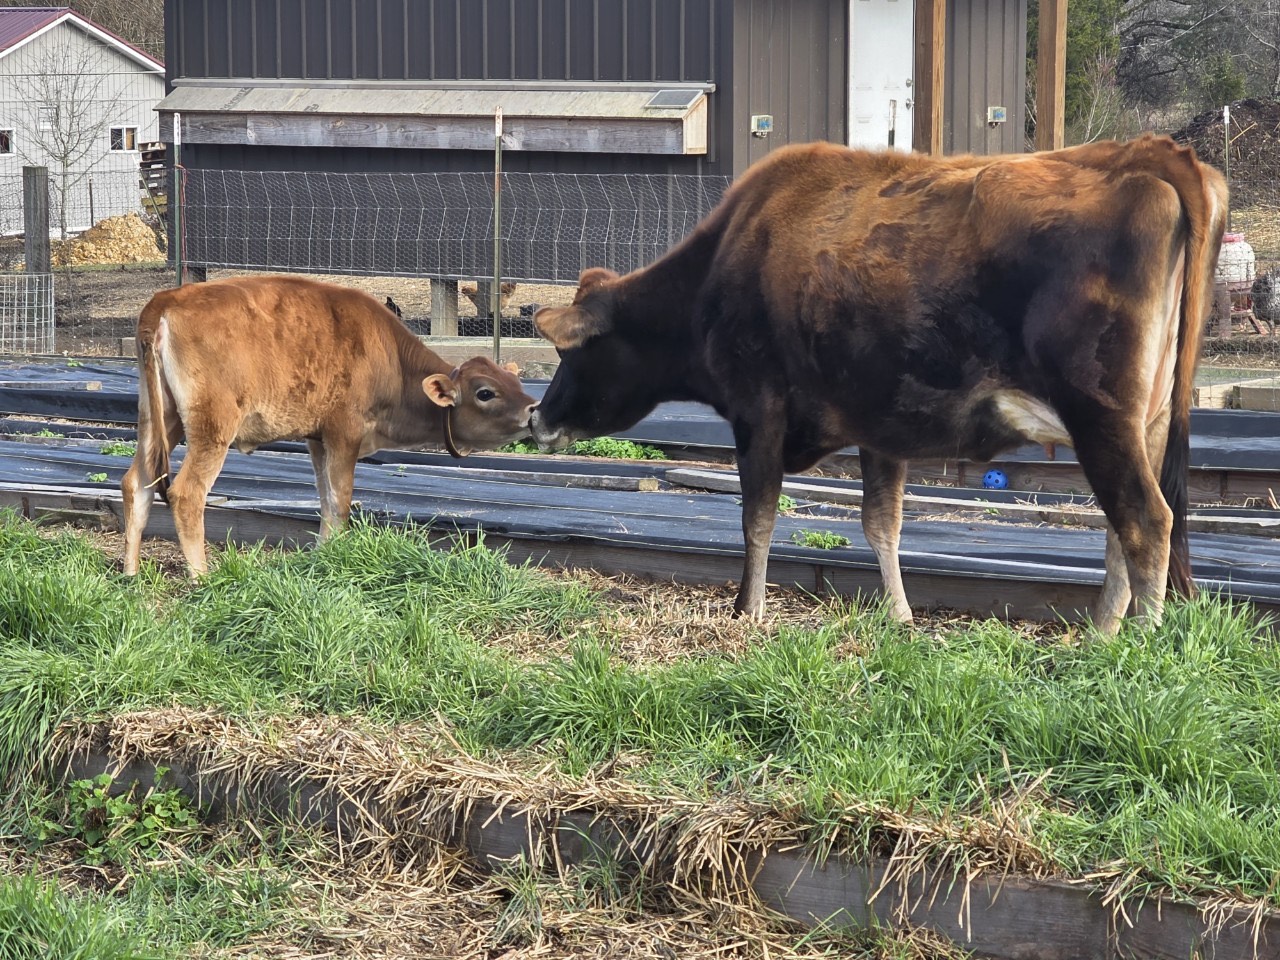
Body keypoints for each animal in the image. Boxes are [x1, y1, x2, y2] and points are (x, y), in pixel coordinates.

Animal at [121, 275, 537, 577]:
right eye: (485, 392)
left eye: (516, 382)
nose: (533, 409)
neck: (391, 358)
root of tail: (169, 299)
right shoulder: (344, 433)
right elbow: (339, 501)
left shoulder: (317, 439)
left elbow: (324, 499)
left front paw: (321, 556)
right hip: (212, 426)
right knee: (186, 493)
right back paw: (201, 576)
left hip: (159, 419)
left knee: (136, 482)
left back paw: (131, 573)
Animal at [530, 136, 1228, 634]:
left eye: (570, 353)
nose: (537, 416)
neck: (724, 261)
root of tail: (1150, 151)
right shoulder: (880, 424)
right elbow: (880, 523)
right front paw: (899, 614)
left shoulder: (759, 408)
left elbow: (758, 515)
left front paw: (747, 612)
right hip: (1145, 420)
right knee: (1121, 527)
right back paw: (1105, 632)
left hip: (1100, 413)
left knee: (1146, 521)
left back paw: (1134, 645)